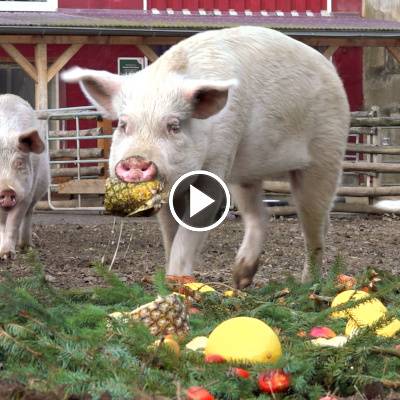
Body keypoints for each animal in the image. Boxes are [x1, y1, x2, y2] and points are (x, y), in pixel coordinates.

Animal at [0, 95, 49, 260]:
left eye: (19, 163)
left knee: (28, 214)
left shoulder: (25, 194)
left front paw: (7, 255)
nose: (7, 190)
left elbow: (13, 223)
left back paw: (26, 247)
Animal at [61, 25, 348, 288]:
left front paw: (179, 286)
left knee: (316, 223)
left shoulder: (219, 159)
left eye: (174, 126)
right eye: (123, 125)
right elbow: (170, 235)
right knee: (261, 214)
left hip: (326, 153)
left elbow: (189, 232)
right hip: (245, 171)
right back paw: (240, 279)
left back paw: (307, 286)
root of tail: (332, 71)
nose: (135, 161)